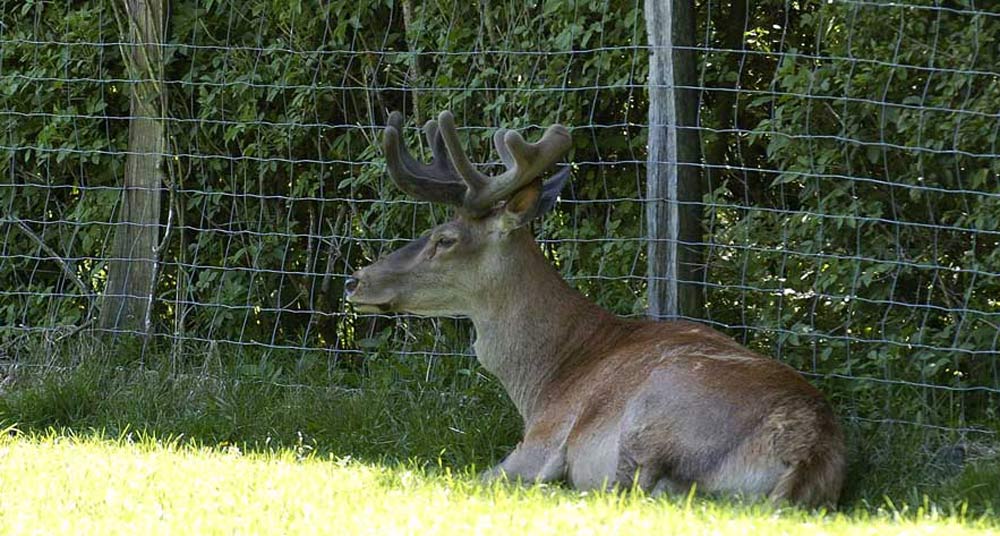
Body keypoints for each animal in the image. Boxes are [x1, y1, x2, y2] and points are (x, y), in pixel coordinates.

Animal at [344, 110, 844, 506]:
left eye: (444, 239)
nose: (355, 280)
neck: (547, 378)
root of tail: (808, 453)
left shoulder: (541, 439)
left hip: (655, 412)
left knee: (633, 486)